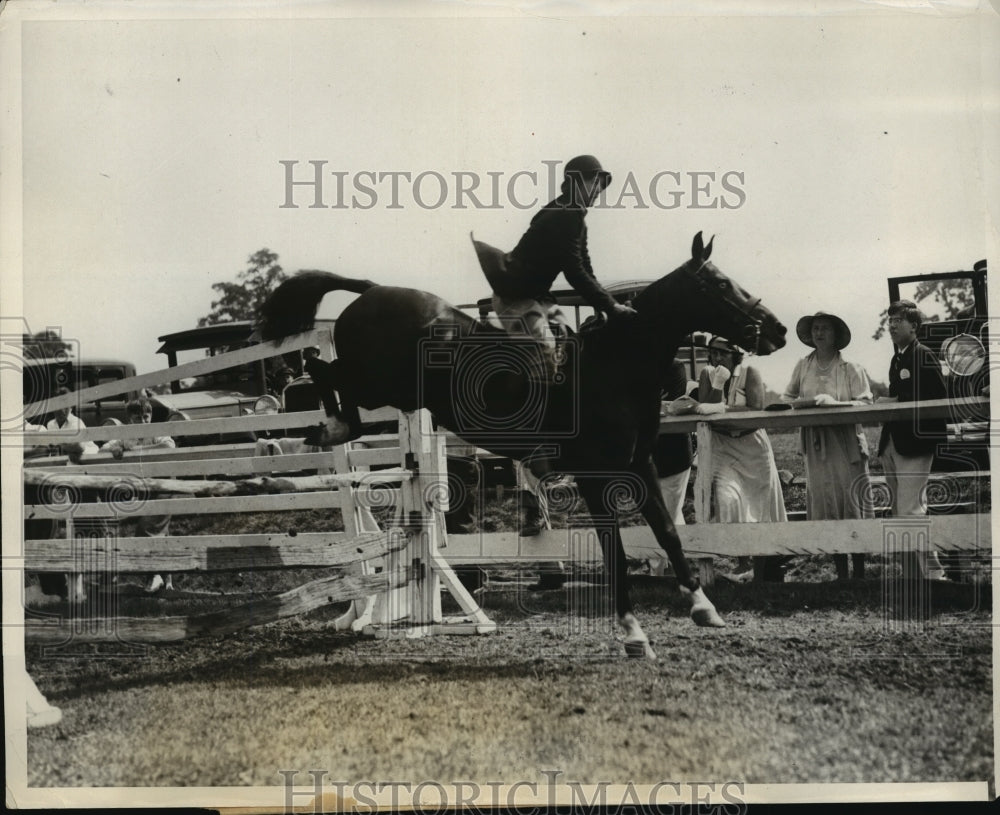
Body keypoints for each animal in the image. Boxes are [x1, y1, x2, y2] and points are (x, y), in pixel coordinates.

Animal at [260, 228, 788, 656]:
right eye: (720, 285)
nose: (778, 330)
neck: (616, 367)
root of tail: (372, 291)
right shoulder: (599, 477)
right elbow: (615, 553)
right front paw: (633, 632)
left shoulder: (640, 468)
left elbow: (670, 534)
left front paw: (703, 607)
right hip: (377, 383)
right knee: (323, 369)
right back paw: (329, 428)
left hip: (393, 390)